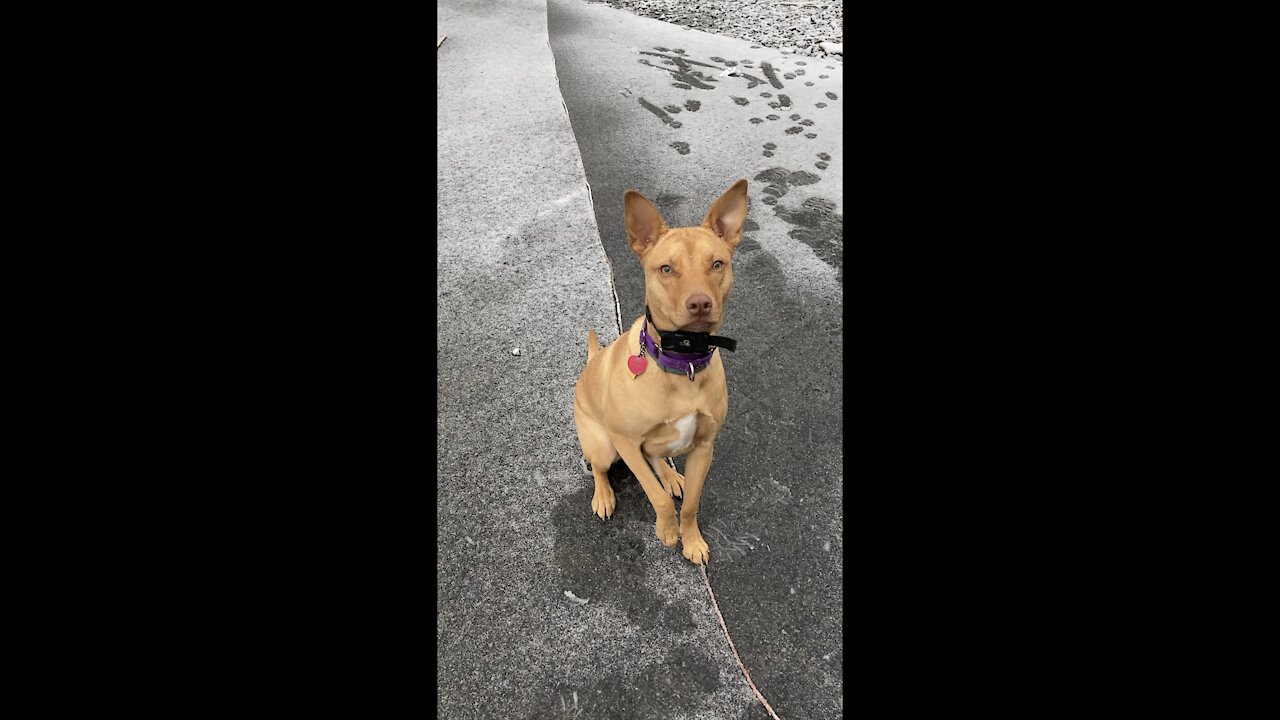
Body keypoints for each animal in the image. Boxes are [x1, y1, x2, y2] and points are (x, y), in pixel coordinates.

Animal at [573, 178, 747, 561]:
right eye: (666, 269)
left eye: (717, 264)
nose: (700, 303)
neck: (685, 360)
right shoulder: (624, 441)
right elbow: (658, 499)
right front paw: (667, 531)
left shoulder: (704, 448)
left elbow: (691, 504)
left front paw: (691, 539)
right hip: (604, 446)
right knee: (600, 468)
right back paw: (604, 495)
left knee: (656, 459)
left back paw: (670, 476)